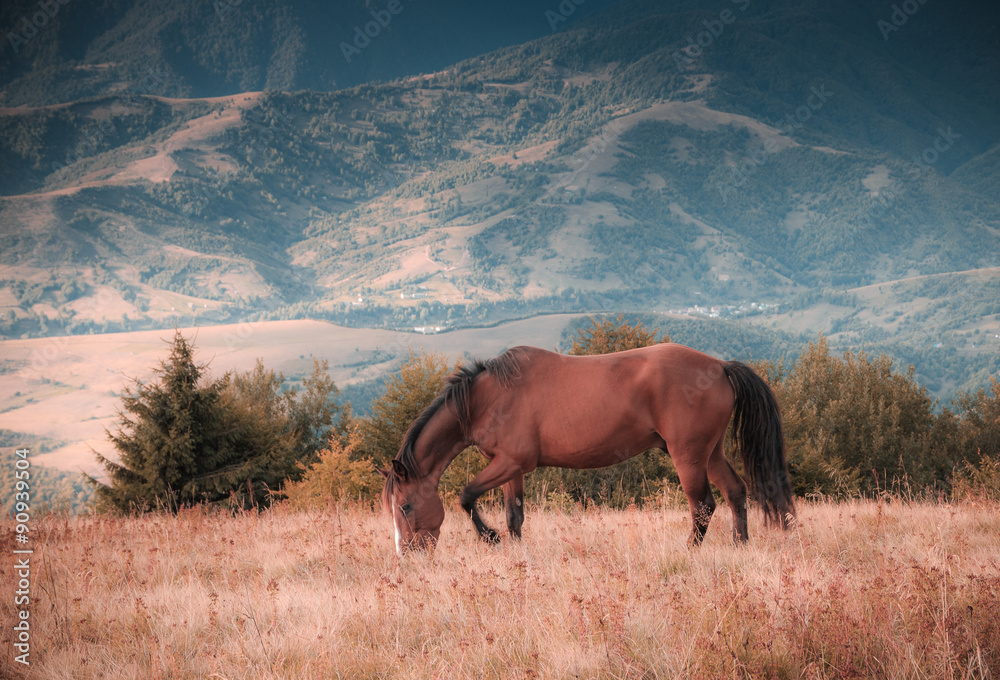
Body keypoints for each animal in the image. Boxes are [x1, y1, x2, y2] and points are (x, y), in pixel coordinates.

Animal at [379, 344, 794, 555]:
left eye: (406, 506)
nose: (407, 554)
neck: (487, 397)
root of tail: (720, 366)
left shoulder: (510, 463)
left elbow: (466, 496)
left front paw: (490, 537)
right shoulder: (511, 468)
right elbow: (515, 516)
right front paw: (514, 550)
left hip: (687, 456)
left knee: (704, 505)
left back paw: (689, 552)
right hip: (712, 452)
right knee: (736, 492)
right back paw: (740, 548)